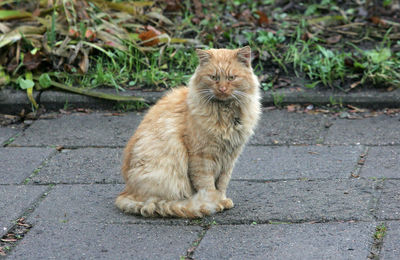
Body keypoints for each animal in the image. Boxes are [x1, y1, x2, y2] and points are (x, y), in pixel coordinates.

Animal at [115, 46, 260, 217]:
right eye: (214, 77)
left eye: (232, 77)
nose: (222, 89)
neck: (226, 113)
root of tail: (125, 192)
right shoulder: (202, 156)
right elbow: (207, 185)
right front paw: (214, 202)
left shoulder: (229, 158)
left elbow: (222, 183)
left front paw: (222, 200)